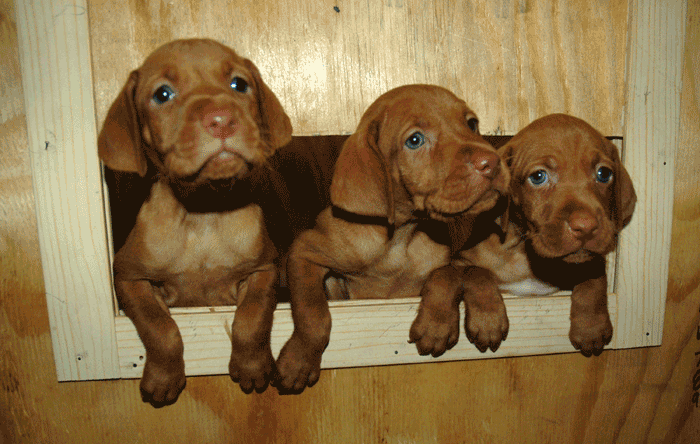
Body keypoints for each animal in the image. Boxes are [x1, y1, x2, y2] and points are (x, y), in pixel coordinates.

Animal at [99, 39, 292, 406]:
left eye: (239, 84)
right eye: (162, 94)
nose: (221, 119)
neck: (202, 214)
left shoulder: (265, 268)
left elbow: (252, 317)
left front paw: (252, 365)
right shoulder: (129, 278)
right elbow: (160, 327)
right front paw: (164, 377)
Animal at [274, 85, 508, 390]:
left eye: (471, 124)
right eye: (415, 140)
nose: (492, 162)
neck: (401, 238)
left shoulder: (446, 262)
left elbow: (457, 273)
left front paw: (447, 323)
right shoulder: (304, 253)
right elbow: (312, 311)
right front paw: (300, 359)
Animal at [456, 115, 636, 358]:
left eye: (604, 174)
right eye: (538, 177)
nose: (586, 227)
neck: (525, 251)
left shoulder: (590, 258)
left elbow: (594, 275)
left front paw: (591, 326)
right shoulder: (459, 260)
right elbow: (475, 272)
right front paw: (488, 318)